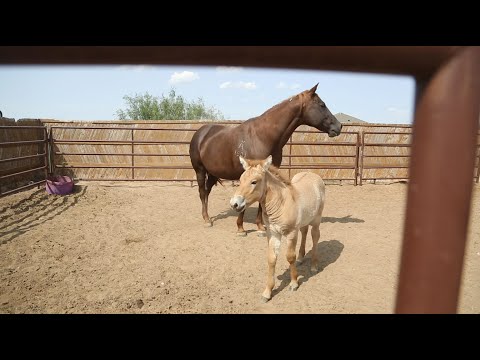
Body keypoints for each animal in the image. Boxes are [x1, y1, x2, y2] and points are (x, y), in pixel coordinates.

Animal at [188, 84, 342, 236]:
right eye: (322, 105)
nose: (339, 126)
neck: (262, 137)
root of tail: (200, 133)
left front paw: (260, 227)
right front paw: (241, 228)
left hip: (213, 173)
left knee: (207, 192)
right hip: (200, 170)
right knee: (202, 192)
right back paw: (207, 220)